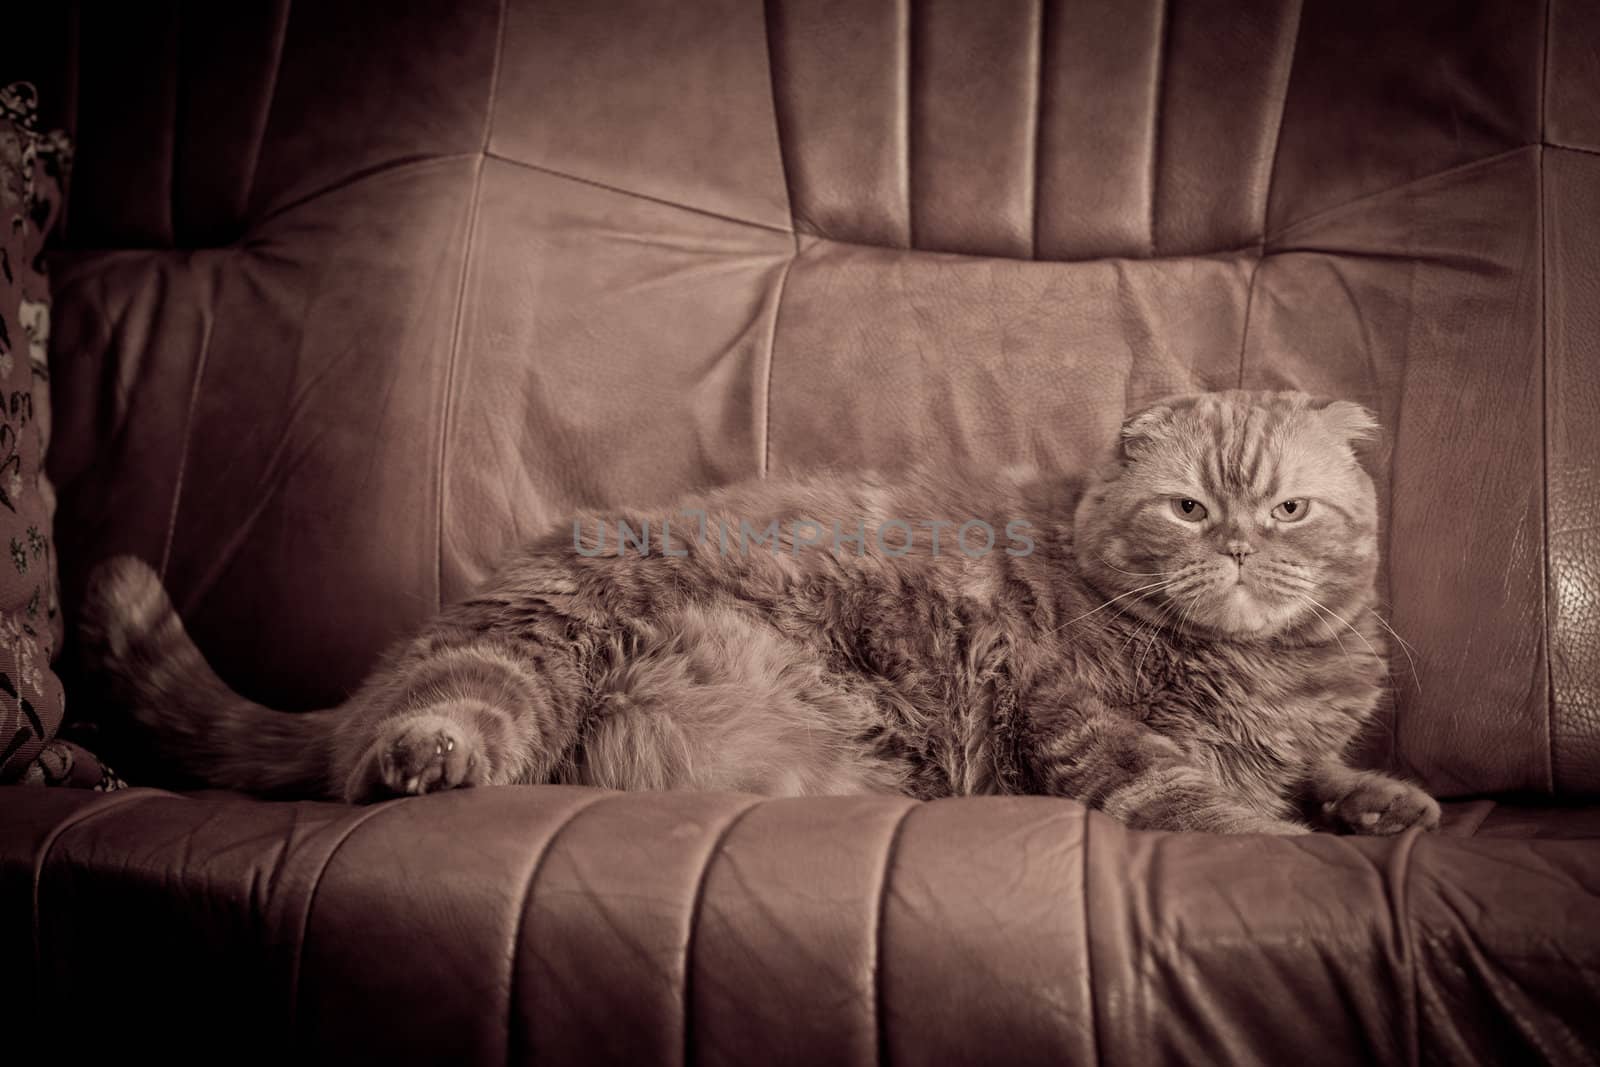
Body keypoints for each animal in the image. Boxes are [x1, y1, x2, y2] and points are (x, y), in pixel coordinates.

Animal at [81, 388, 1446, 838]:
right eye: (1187, 506)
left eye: (1288, 511)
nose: (1235, 544)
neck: (1253, 675)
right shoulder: (1081, 720)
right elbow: (1190, 790)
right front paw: (1271, 842)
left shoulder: (1294, 740)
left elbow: (1323, 772)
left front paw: (1378, 802)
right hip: (526, 654)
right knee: (411, 735)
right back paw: (423, 755)